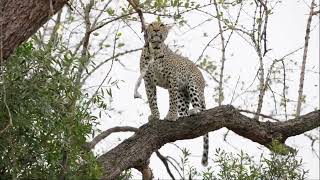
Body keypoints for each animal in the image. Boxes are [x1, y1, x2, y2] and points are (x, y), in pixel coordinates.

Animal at [139, 21, 209, 166]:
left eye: (161, 25)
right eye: (151, 25)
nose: (155, 29)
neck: (155, 49)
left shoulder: (172, 79)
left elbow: (172, 100)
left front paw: (170, 116)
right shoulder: (148, 81)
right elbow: (152, 100)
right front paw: (155, 116)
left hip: (193, 85)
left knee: (199, 106)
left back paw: (194, 111)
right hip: (183, 95)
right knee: (183, 110)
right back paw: (183, 115)